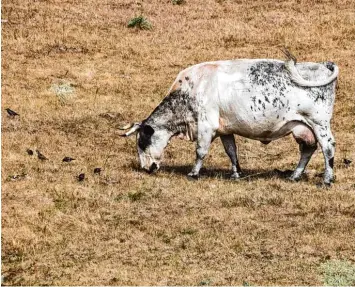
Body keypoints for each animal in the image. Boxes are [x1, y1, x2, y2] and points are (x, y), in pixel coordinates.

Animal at [119, 51, 340, 187]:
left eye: (142, 142)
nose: (146, 168)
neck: (190, 91)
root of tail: (324, 65)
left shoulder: (206, 126)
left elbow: (200, 151)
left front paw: (193, 173)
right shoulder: (225, 130)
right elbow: (231, 152)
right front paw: (236, 174)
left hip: (319, 124)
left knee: (327, 148)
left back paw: (327, 179)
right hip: (302, 127)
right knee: (307, 149)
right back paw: (294, 176)